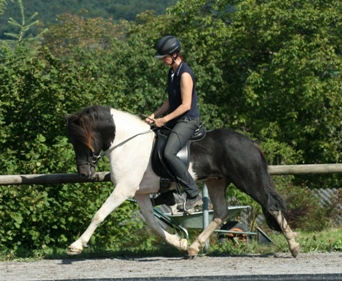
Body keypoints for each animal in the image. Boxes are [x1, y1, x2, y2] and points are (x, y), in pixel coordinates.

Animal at [66, 104, 300, 256]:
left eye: (80, 140)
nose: (84, 173)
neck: (127, 143)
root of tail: (250, 142)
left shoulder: (124, 189)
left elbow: (99, 214)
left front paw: (76, 245)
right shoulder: (140, 193)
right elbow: (153, 224)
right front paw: (179, 243)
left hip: (248, 180)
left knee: (271, 206)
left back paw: (294, 246)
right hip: (216, 182)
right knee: (221, 212)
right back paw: (194, 247)